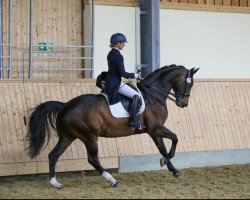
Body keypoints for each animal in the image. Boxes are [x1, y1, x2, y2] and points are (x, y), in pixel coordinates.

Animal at [24, 65, 199, 188]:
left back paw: (55, 183)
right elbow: (175, 139)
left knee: (53, 155)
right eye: (189, 84)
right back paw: (112, 180)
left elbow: (162, 148)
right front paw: (165, 162)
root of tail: (65, 106)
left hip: (68, 136)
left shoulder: (153, 131)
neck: (153, 96)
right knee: (92, 159)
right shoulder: (155, 128)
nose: (183, 103)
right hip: (89, 136)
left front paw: (174, 170)